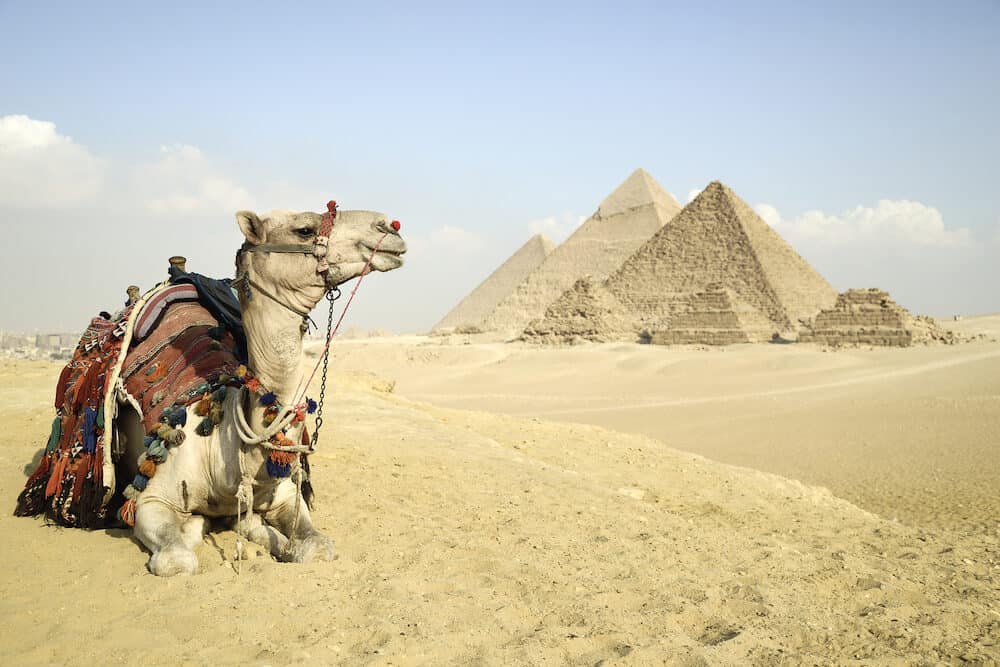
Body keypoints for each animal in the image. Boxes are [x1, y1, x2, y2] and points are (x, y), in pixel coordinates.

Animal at [120, 206, 406, 576]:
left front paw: (278, 541)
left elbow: (316, 547)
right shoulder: (151, 500)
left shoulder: (283, 494)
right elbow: (178, 558)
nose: (389, 227)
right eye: (304, 229)